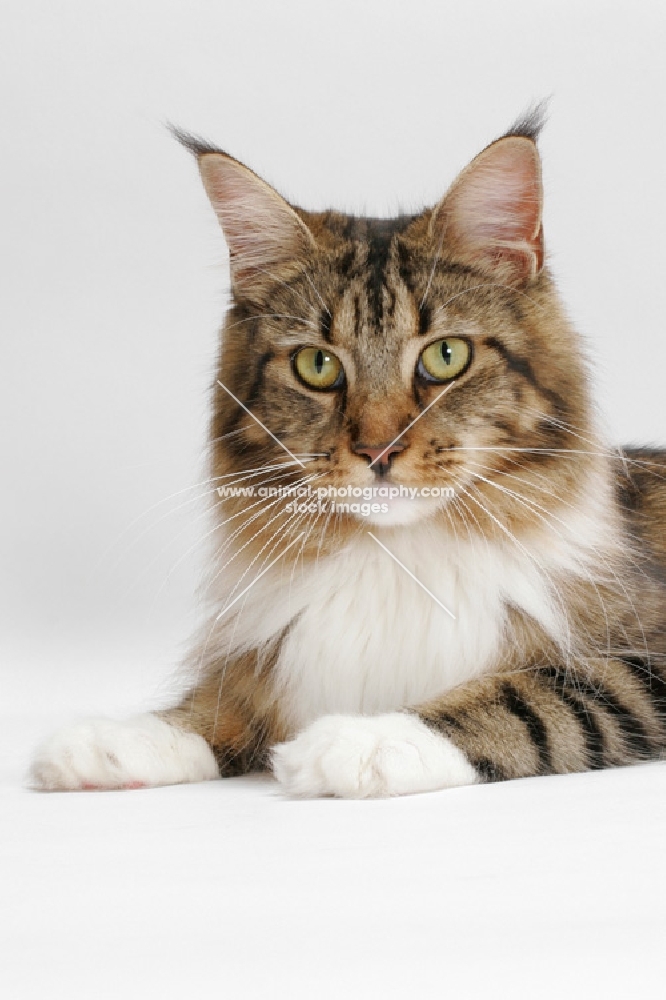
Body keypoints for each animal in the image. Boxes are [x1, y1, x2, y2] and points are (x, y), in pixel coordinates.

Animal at [31, 109, 666, 796]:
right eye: (318, 365)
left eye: (446, 357)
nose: (377, 450)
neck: (397, 559)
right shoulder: (269, 659)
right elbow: (213, 705)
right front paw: (117, 742)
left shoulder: (638, 660)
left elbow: (533, 696)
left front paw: (366, 740)